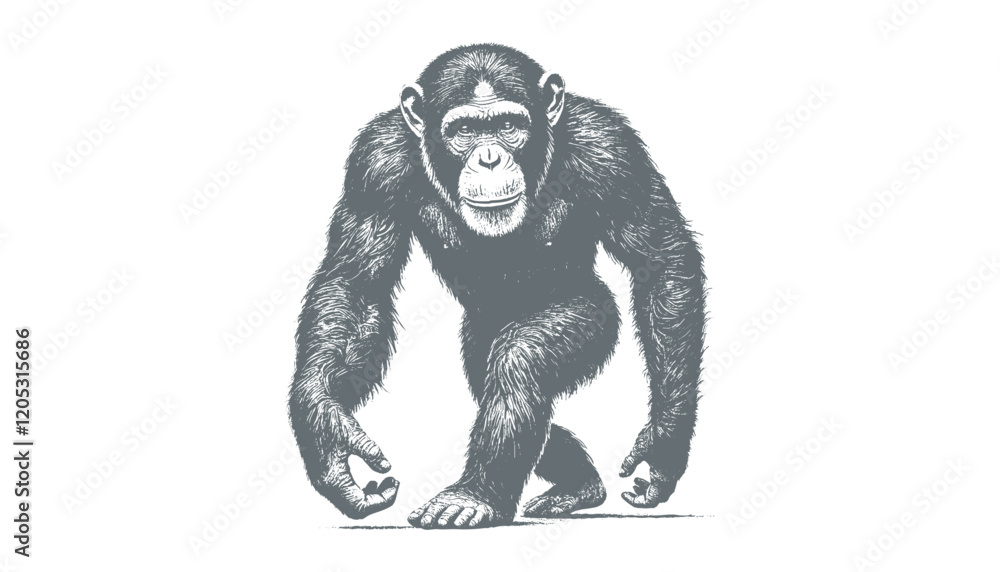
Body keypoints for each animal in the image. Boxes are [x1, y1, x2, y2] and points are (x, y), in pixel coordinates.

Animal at [288, 44, 705, 529]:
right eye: (465, 130)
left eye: (508, 126)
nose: (488, 158)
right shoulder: (374, 164)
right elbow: (356, 283)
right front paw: (327, 433)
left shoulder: (611, 149)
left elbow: (660, 260)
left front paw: (664, 442)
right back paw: (575, 485)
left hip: (589, 310)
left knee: (519, 361)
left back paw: (474, 497)